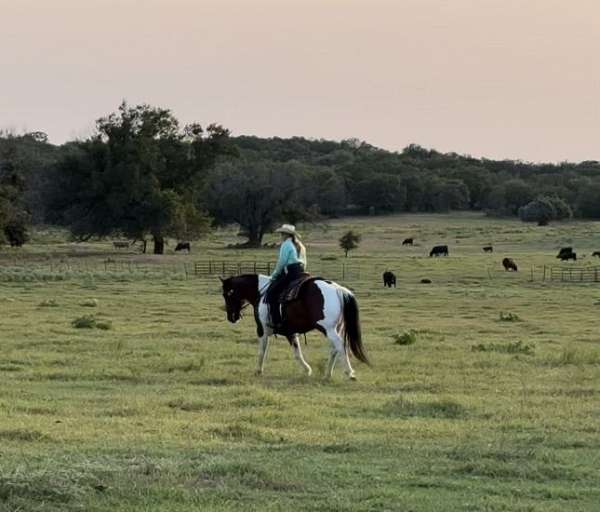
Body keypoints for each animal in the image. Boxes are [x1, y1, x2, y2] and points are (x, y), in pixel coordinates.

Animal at [220, 274, 370, 378]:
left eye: (226, 294)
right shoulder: (290, 332)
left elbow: (262, 351)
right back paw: (328, 374)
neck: (261, 293)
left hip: (328, 329)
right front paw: (307, 370)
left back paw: (349, 372)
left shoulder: (261, 330)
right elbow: (297, 352)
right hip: (336, 328)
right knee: (335, 348)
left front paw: (258, 371)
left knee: (340, 344)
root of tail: (338, 289)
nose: (231, 317)